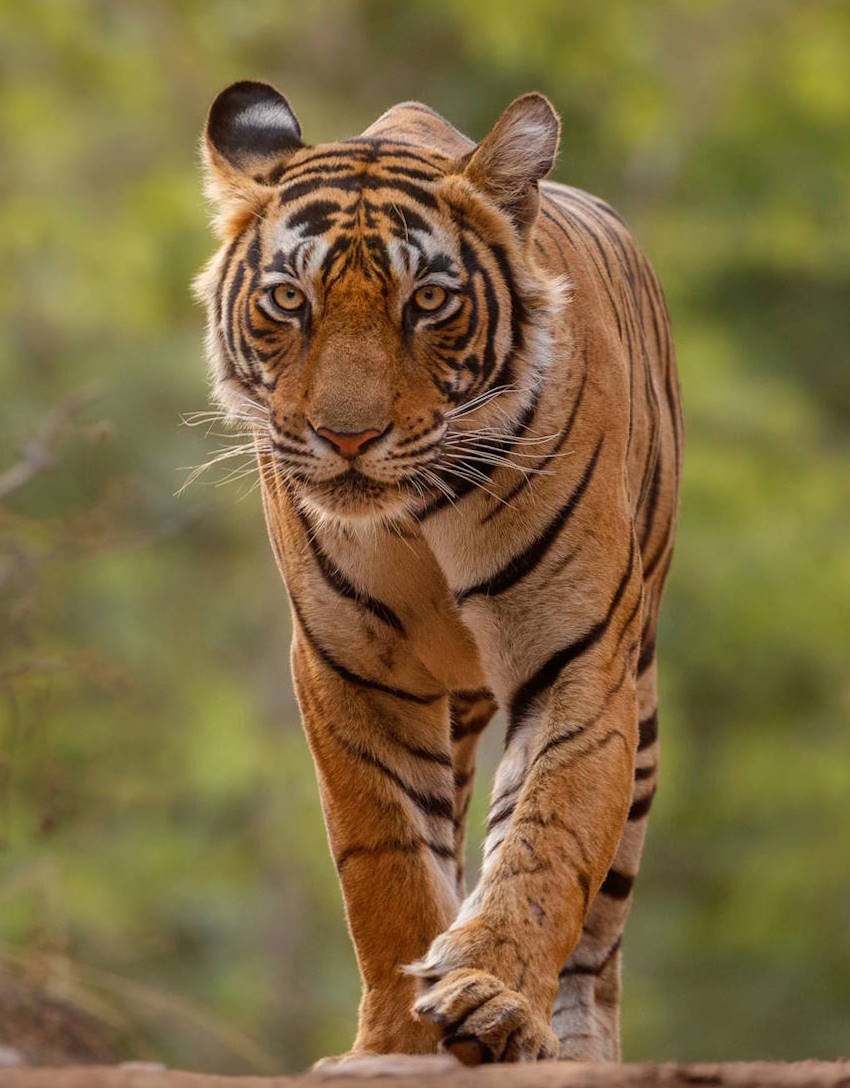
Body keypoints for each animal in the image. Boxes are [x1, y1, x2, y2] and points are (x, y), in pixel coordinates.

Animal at [194, 80, 682, 1067]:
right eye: (288, 300)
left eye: (428, 302)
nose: (346, 437)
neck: (419, 514)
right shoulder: (352, 671)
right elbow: (387, 865)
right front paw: (393, 1040)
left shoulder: (579, 658)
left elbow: (546, 839)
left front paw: (492, 999)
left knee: (598, 938)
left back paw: (575, 1048)